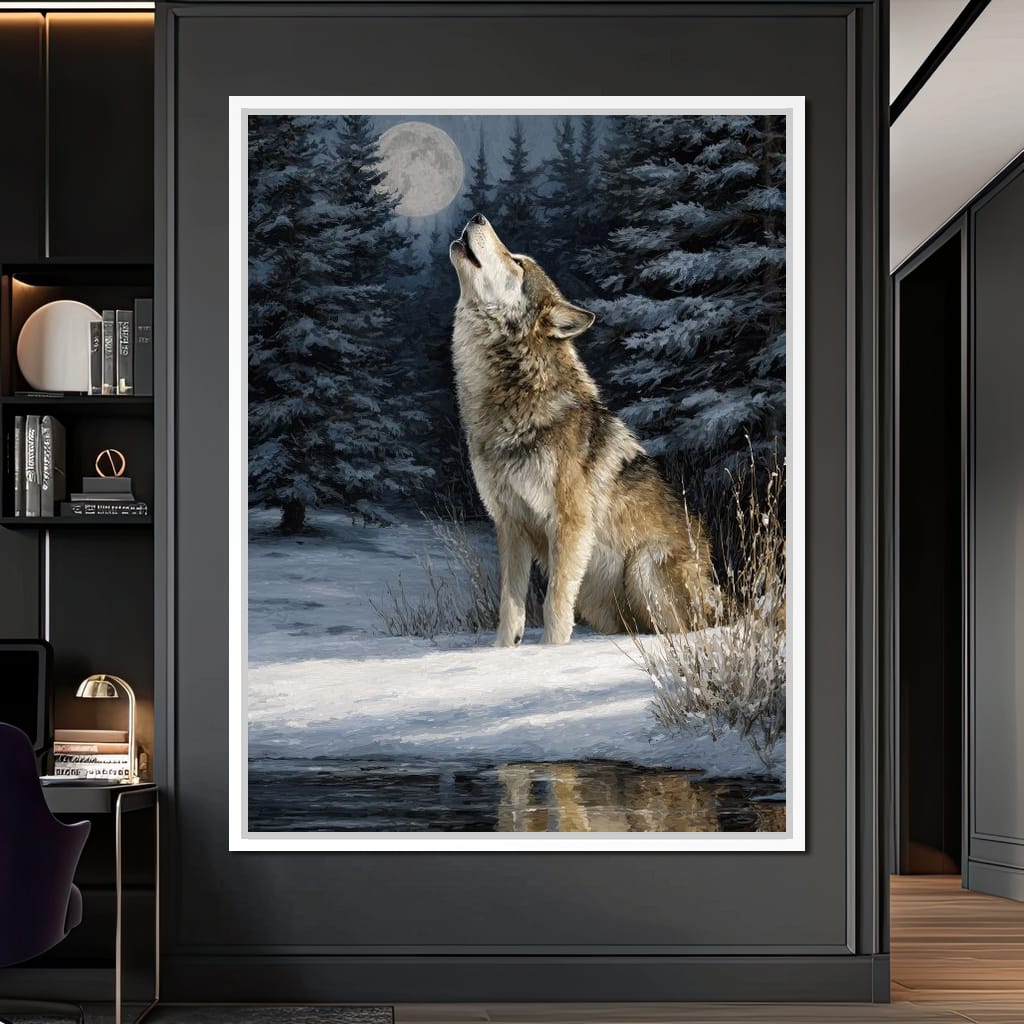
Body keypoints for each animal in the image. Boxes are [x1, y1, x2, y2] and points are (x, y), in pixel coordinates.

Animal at [449, 214, 713, 646]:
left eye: (518, 262)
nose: (477, 217)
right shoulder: (510, 525)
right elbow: (511, 607)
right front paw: (502, 654)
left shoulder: (569, 523)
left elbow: (555, 604)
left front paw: (549, 654)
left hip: (642, 565)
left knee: (684, 631)